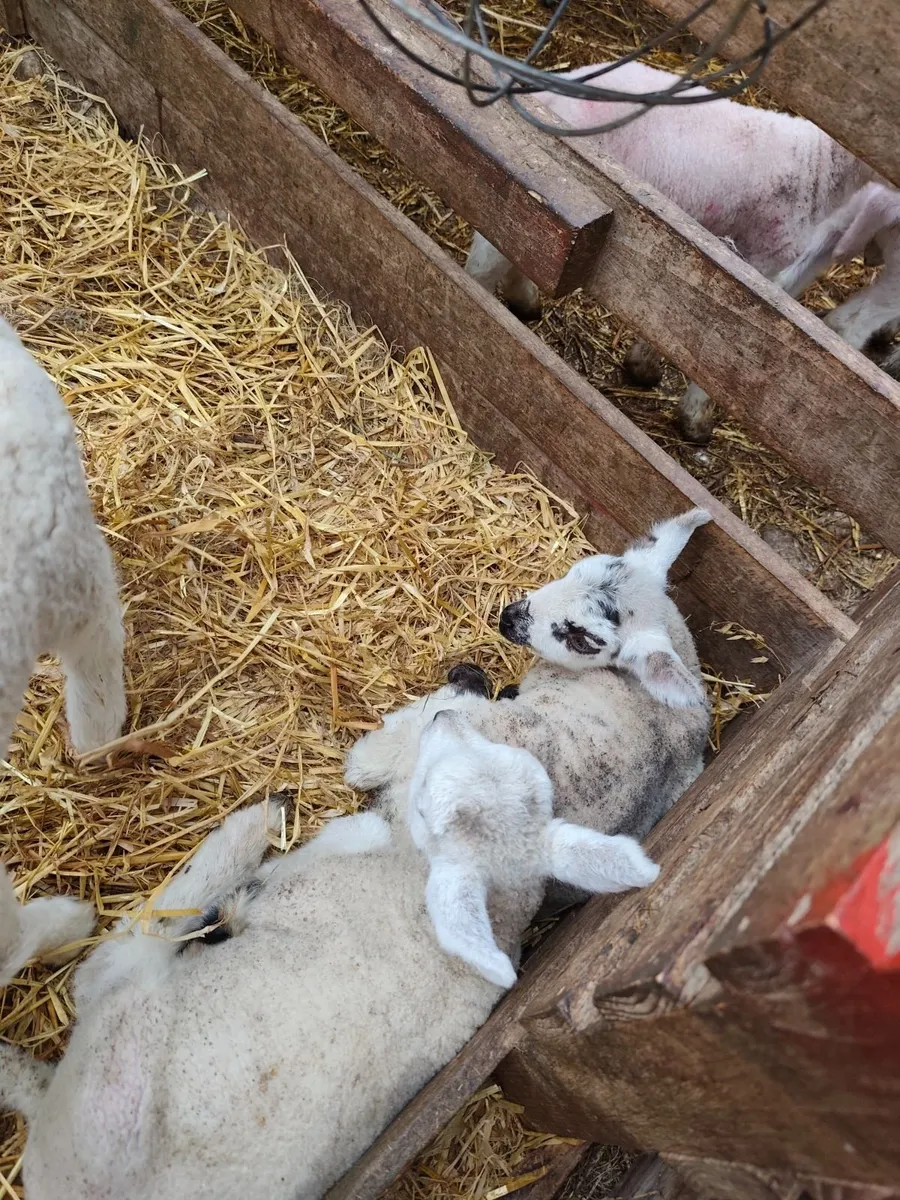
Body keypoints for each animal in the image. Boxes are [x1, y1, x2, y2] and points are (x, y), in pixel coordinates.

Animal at [9, 722, 657, 1200]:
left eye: (428, 802)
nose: (449, 713)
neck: (407, 872)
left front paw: (254, 838)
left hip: (122, 1033)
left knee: (110, 962)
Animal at [464, 59, 900, 441]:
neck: (818, 167)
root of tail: (551, 92)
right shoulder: (757, 263)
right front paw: (696, 416)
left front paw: (644, 365)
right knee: (495, 243)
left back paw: (523, 297)